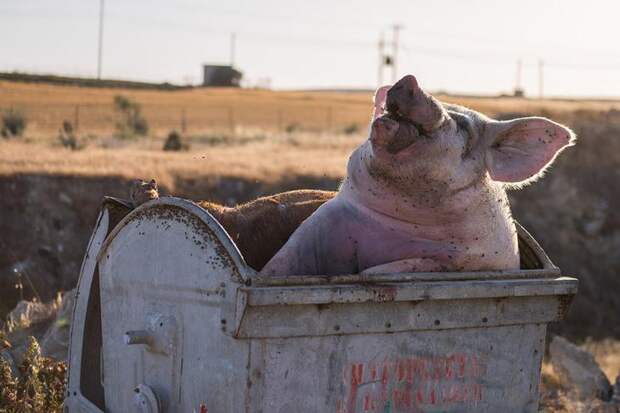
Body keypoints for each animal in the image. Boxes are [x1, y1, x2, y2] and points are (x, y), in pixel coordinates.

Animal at [260, 74, 572, 276]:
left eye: (463, 126)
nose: (410, 79)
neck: (397, 223)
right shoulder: (320, 225)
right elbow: (278, 266)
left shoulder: (470, 260)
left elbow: (401, 267)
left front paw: (368, 274)